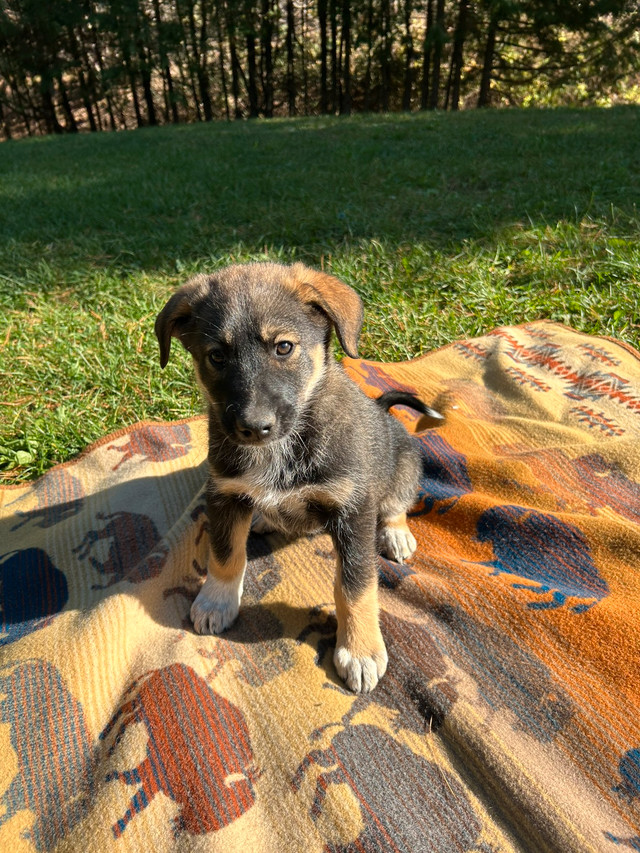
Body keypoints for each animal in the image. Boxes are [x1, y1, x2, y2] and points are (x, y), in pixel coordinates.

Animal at [158, 264, 442, 692]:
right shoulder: (224, 493)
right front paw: (216, 601)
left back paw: (395, 535)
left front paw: (360, 650)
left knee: (396, 505)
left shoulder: (353, 510)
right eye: (217, 356)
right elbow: (225, 554)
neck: (283, 448)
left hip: (406, 464)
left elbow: (356, 585)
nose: (254, 427)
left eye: (284, 347)